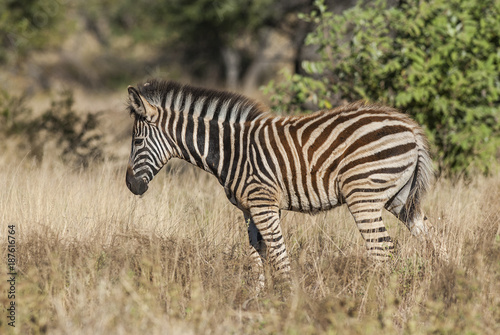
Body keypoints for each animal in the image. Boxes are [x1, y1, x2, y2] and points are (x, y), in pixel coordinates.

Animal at [126, 79, 442, 288]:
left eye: (137, 142)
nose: (131, 186)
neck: (231, 150)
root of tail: (409, 126)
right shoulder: (250, 209)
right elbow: (257, 255)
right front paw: (258, 300)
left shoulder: (264, 204)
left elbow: (278, 255)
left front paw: (286, 302)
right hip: (400, 197)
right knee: (431, 238)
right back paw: (445, 281)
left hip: (363, 195)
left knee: (382, 250)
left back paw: (376, 299)